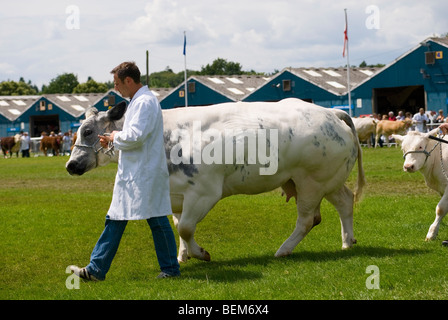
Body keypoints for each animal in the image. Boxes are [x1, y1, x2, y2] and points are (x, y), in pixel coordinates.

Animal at [67, 98, 368, 262]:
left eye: (88, 131)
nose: (71, 165)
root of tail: (332, 113)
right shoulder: (176, 195)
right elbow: (178, 226)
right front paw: (183, 255)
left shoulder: (204, 192)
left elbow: (185, 228)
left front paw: (200, 254)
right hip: (326, 180)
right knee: (345, 202)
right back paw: (347, 241)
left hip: (311, 181)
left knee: (307, 220)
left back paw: (283, 250)